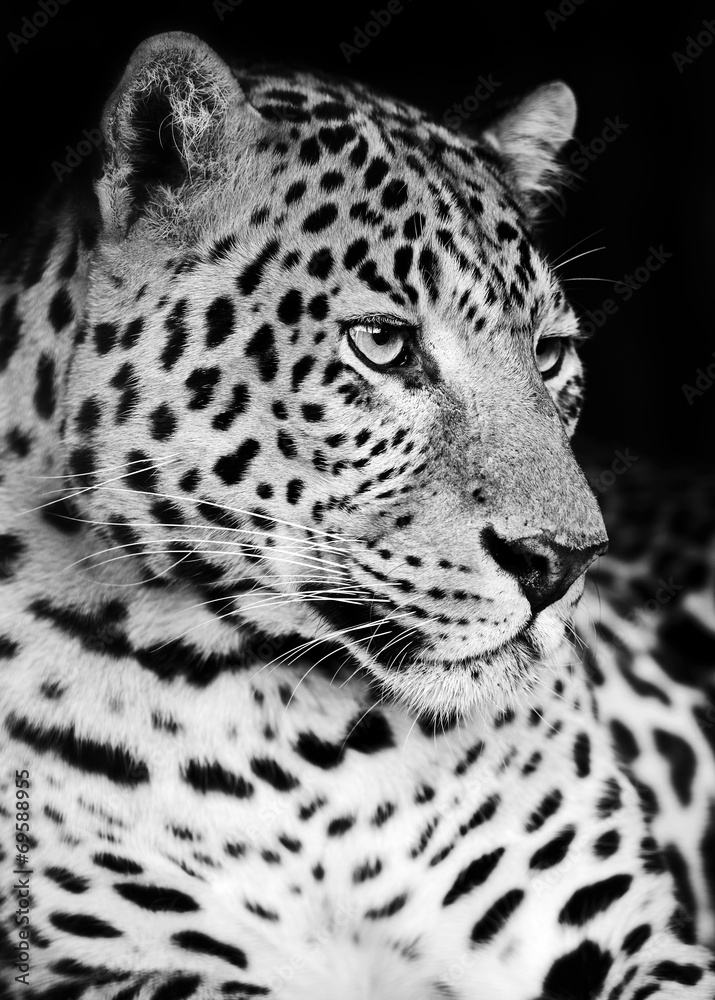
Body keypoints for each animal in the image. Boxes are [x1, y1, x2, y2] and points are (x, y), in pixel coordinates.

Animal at [1, 29, 715, 1000]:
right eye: (381, 344)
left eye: (548, 353)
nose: (562, 563)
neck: (299, 751)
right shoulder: (116, 970)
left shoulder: (625, 937)